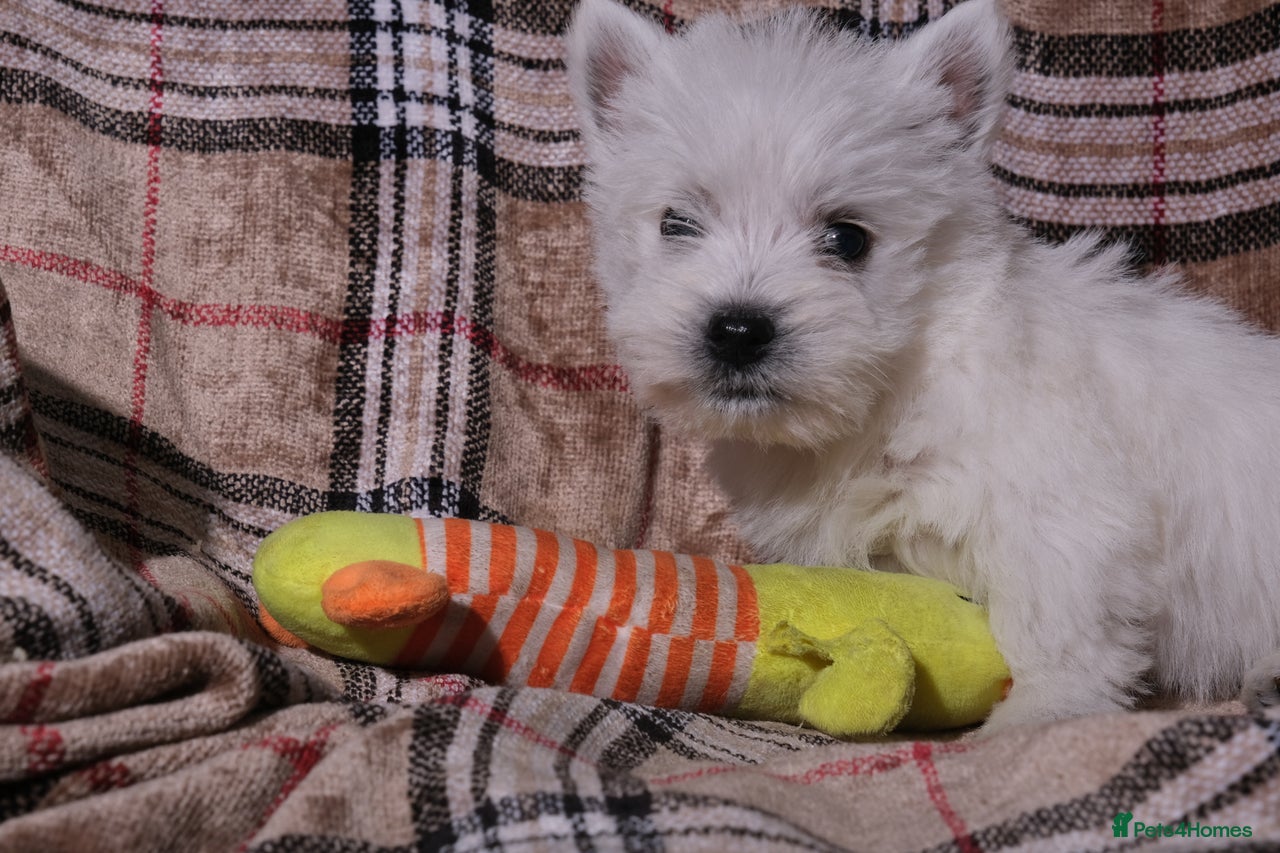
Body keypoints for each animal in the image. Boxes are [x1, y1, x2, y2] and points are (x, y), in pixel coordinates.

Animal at [568, 0, 1280, 732]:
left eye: (848, 238)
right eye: (676, 223)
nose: (737, 331)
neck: (905, 378)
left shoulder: (1063, 514)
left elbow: (1056, 633)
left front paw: (1030, 720)